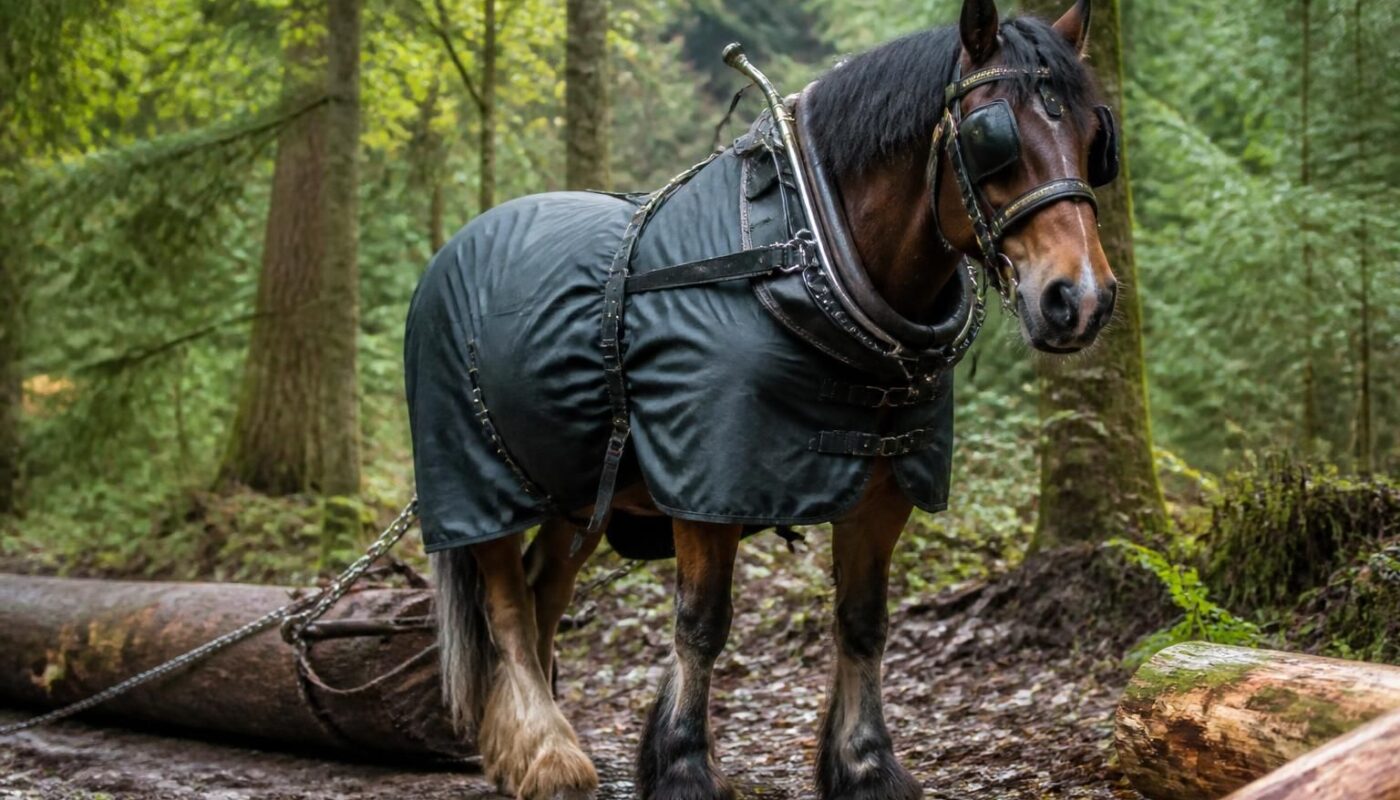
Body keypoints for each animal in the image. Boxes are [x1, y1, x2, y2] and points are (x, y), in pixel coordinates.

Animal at [404, 0, 1119, 797]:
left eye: (1095, 140)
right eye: (992, 135)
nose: (1081, 300)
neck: (800, 257)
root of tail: (456, 245)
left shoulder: (884, 486)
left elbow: (863, 621)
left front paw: (866, 766)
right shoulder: (708, 483)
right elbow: (701, 623)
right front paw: (682, 765)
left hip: (578, 488)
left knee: (543, 591)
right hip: (479, 482)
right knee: (504, 605)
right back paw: (546, 752)